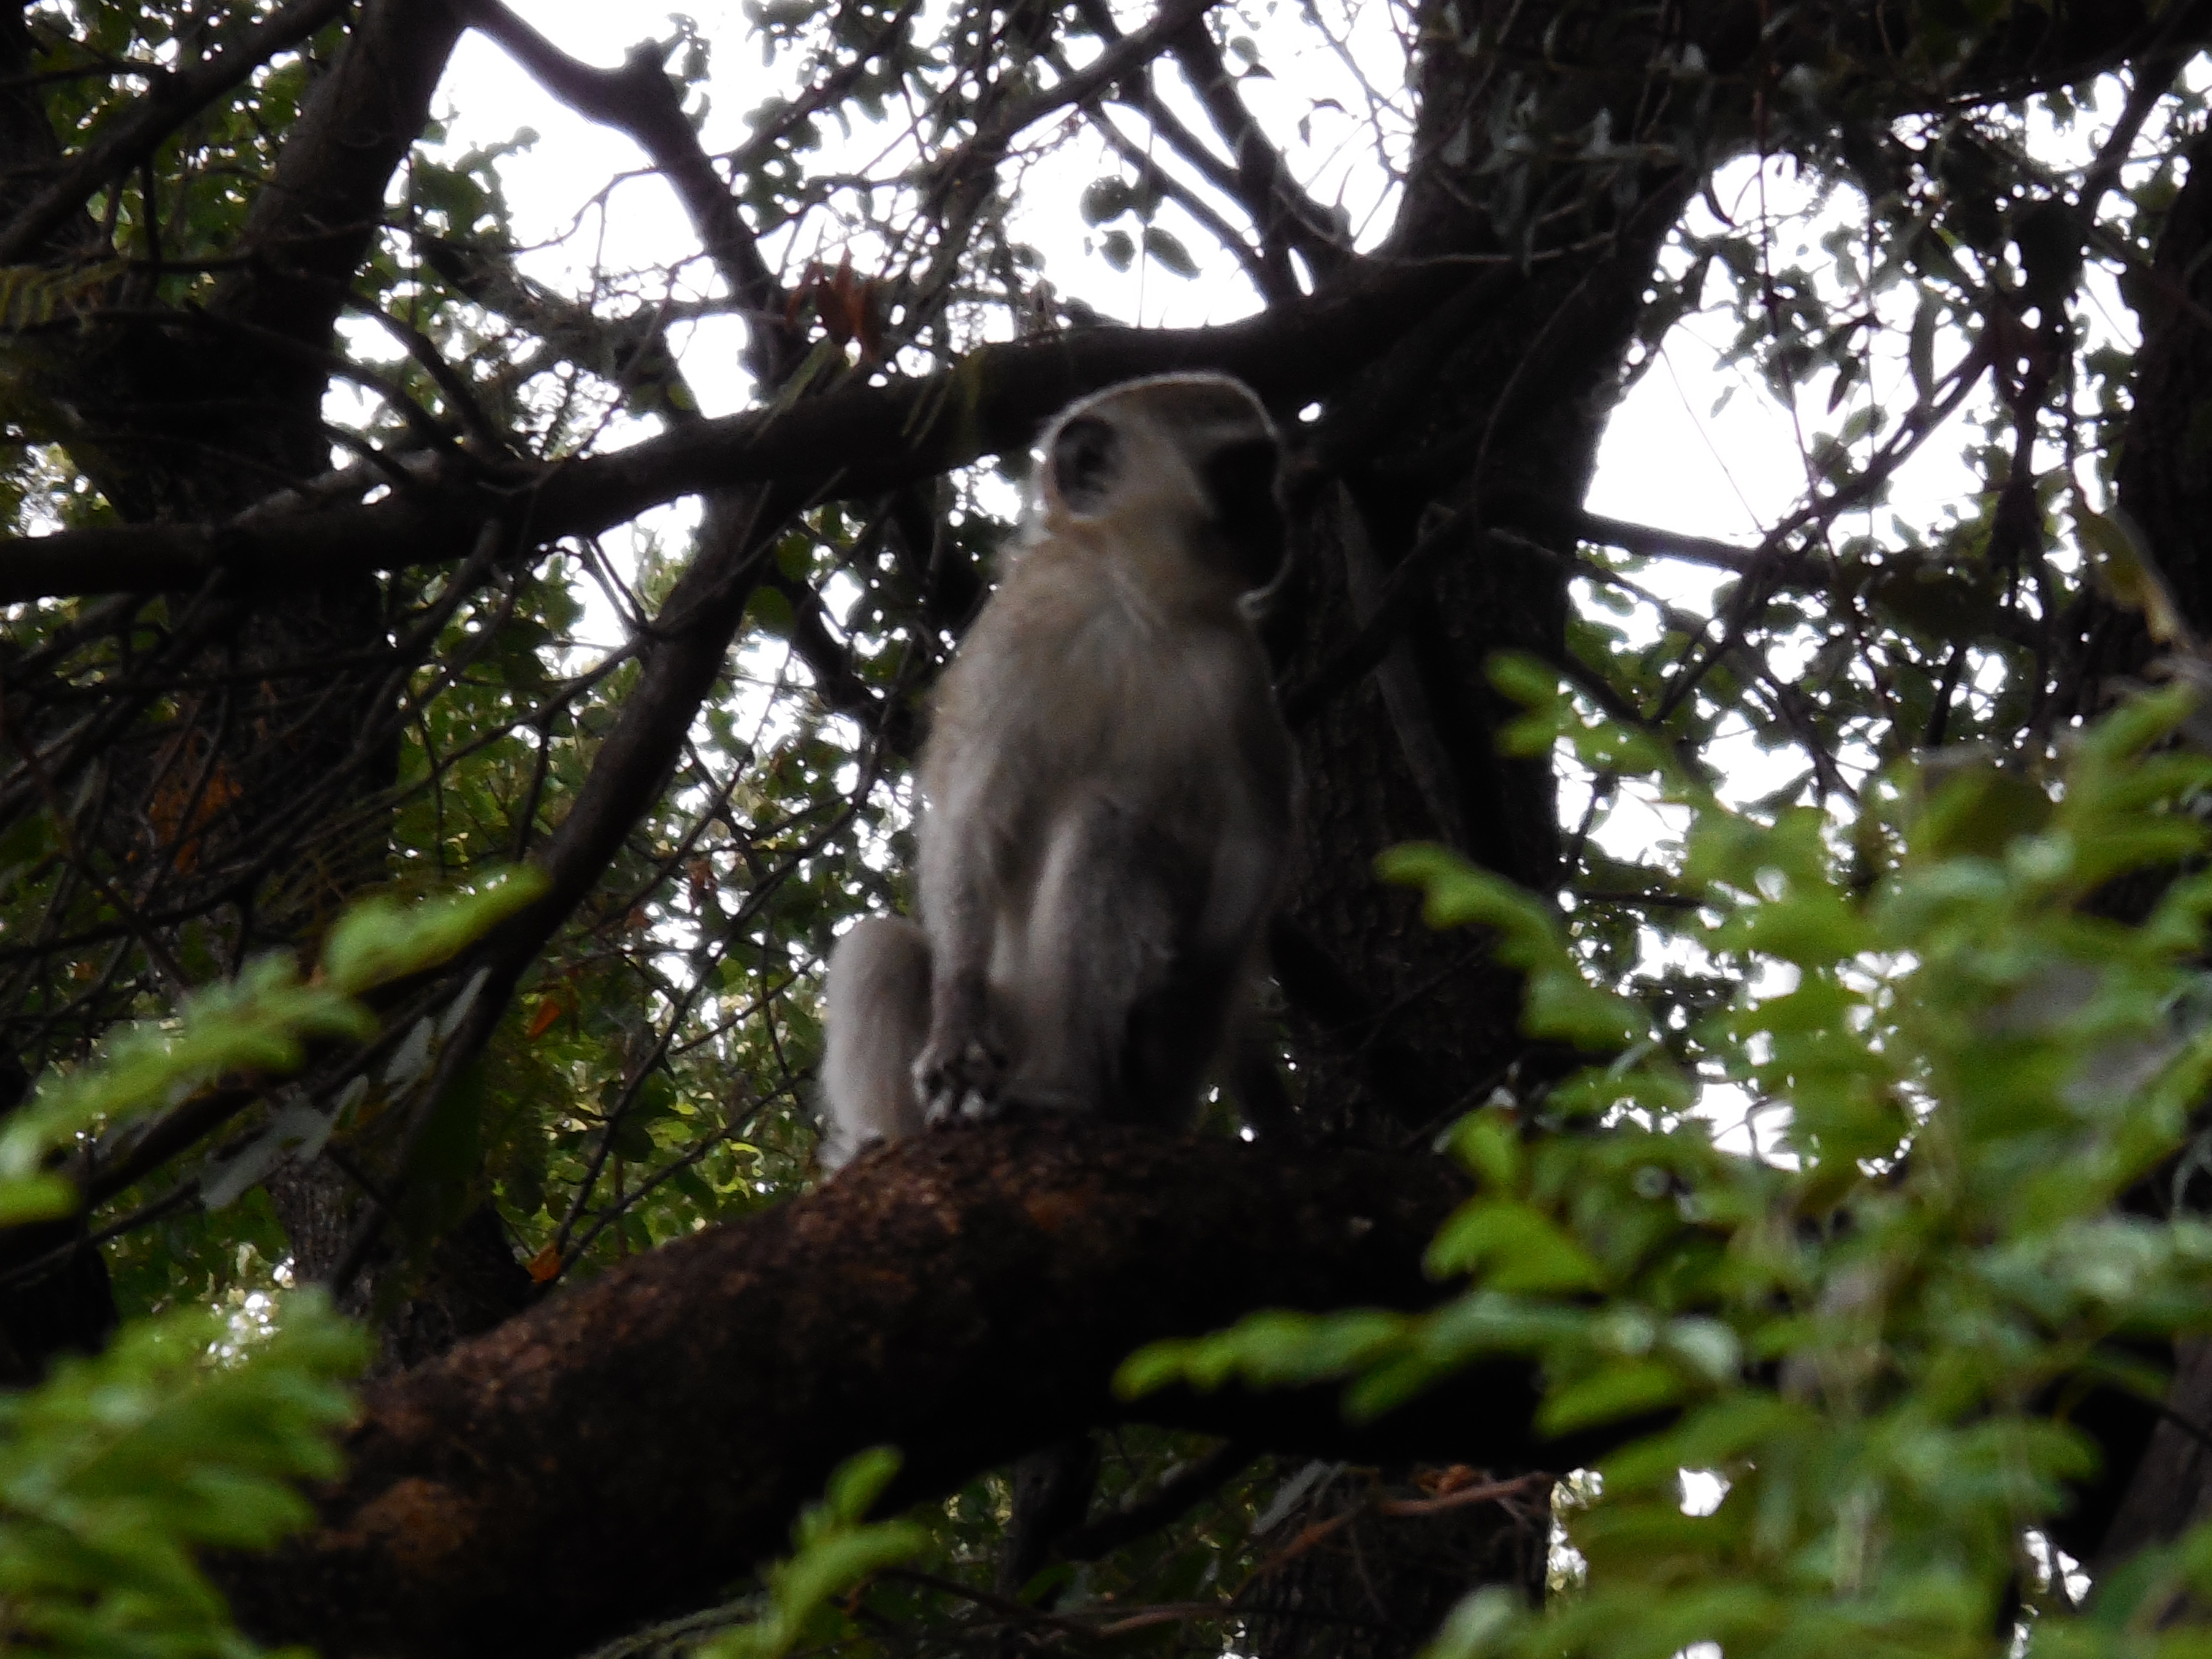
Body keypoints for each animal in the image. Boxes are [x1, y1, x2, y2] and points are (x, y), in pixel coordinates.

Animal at [823, 369, 1292, 1168]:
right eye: (1240, 476)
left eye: (1265, 474)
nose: (1279, 519)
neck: (1133, 601)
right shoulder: (1020, 631)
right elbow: (968, 819)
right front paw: (957, 1023)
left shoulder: (1237, 672)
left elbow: (1254, 846)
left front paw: (1180, 1019)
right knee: (880, 948)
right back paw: (889, 1139)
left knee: (1110, 826)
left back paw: (1071, 1090)